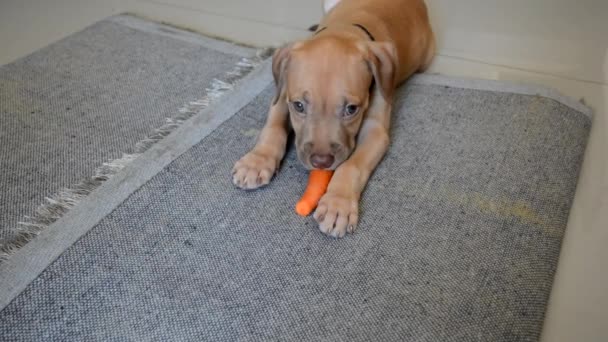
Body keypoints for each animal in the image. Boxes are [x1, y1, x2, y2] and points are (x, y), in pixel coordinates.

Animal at [230, 0, 434, 238]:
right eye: (299, 106)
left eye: (351, 109)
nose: (321, 162)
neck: (344, 29)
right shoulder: (282, 95)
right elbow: (273, 127)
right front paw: (256, 161)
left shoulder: (376, 129)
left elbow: (351, 165)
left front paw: (338, 204)